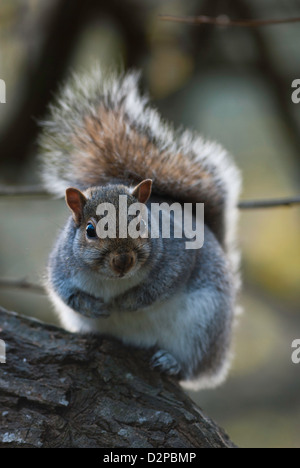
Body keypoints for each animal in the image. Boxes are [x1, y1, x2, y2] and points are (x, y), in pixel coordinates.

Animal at [39, 66, 241, 388]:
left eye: (141, 222)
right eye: (90, 230)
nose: (123, 260)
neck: (111, 281)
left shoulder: (179, 254)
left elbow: (162, 284)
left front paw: (128, 302)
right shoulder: (60, 266)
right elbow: (66, 293)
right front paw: (96, 307)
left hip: (204, 324)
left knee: (194, 367)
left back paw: (172, 363)